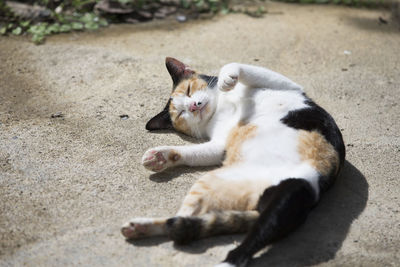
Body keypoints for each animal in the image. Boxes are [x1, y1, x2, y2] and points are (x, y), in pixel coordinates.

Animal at [120, 57, 346, 266]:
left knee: (183, 223)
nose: (193, 106)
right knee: (184, 224)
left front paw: (226, 79)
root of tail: (258, 206)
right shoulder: (219, 144)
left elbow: (234, 65)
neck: (221, 106)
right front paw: (161, 156)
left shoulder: (286, 85)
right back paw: (141, 227)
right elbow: (192, 152)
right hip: (217, 185)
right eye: (181, 114)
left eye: (189, 91)